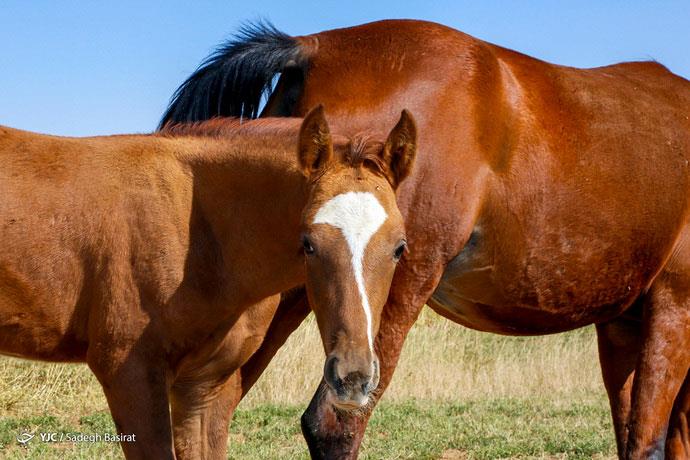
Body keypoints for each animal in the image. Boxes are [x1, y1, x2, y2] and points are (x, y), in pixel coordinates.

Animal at [0, 106, 414, 458]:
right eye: (308, 243)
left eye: (399, 247)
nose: (353, 378)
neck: (197, 231)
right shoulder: (128, 374)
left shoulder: (205, 386)